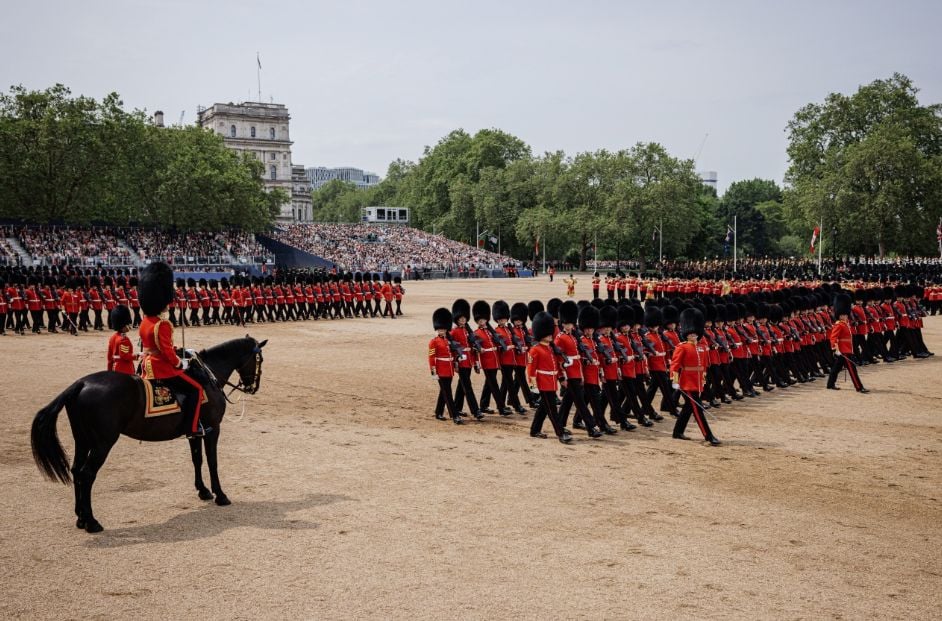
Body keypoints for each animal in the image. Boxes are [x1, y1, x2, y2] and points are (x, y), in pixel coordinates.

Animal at [31, 336, 268, 532]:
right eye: (260, 360)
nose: (253, 387)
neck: (207, 376)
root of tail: (81, 383)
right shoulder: (213, 429)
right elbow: (212, 462)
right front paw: (221, 495)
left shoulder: (195, 431)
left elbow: (197, 460)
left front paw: (203, 491)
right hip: (102, 443)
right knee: (87, 474)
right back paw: (91, 522)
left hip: (82, 440)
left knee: (76, 471)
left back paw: (80, 518)